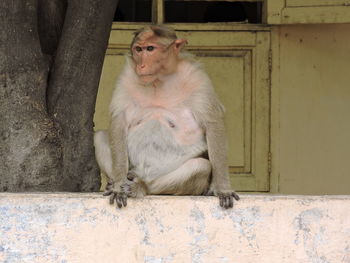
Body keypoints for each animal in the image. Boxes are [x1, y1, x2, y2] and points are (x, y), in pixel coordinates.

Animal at [94, 24, 239, 210]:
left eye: (150, 49)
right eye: (138, 49)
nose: (141, 65)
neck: (159, 79)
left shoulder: (198, 78)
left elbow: (213, 123)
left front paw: (221, 188)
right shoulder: (126, 77)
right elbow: (119, 122)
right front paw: (119, 186)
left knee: (200, 166)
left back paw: (141, 187)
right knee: (99, 137)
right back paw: (117, 183)